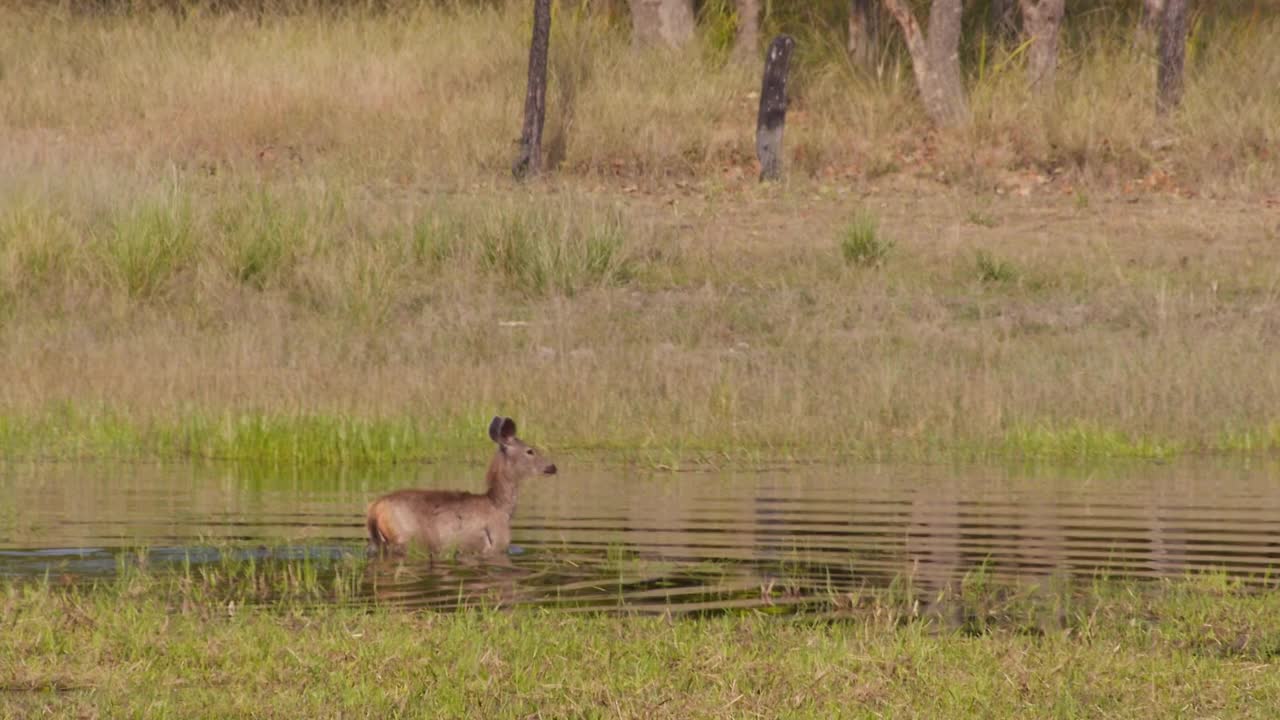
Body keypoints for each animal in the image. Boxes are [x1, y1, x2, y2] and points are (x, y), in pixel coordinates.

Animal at [363, 415, 558, 561]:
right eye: (530, 451)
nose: (552, 467)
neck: (501, 506)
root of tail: (374, 509)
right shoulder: (496, 545)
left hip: (376, 541)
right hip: (404, 539)